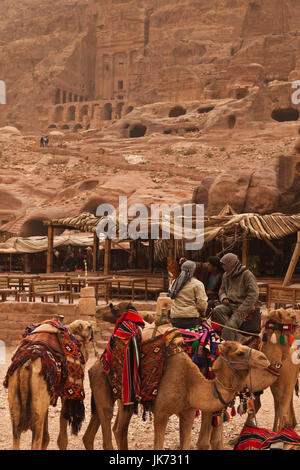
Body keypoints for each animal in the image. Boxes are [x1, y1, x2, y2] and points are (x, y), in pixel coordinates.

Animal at [5, 318, 92, 450]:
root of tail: (26, 365)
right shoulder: (65, 393)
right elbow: (62, 439)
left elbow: (45, 438)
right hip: (36, 409)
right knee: (35, 439)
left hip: (16, 402)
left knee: (16, 437)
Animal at [82, 326, 270, 452]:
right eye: (239, 353)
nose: (264, 358)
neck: (190, 382)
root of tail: (97, 361)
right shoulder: (161, 413)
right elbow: (158, 446)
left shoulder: (188, 411)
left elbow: (186, 444)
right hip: (101, 382)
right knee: (107, 423)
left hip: (125, 398)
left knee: (111, 430)